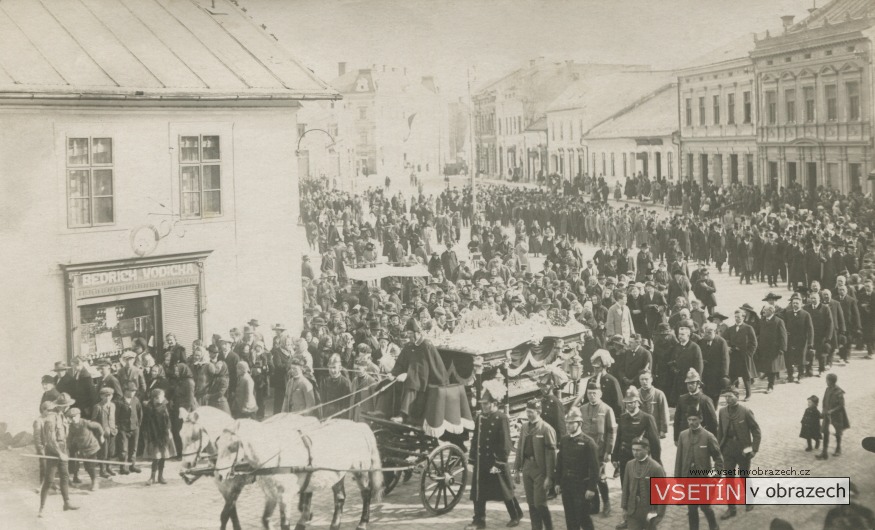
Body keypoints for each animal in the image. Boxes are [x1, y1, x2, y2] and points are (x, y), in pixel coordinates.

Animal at [180, 406, 316, 524]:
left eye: (194, 436)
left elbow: (226, 515)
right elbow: (230, 516)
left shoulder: (235, 488)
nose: (186, 464)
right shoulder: (224, 489)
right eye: (180, 434)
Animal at [214, 416, 382, 528]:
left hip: (360, 470)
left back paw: (362, 523)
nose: (219, 475)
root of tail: (358, 426)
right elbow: (265, 519)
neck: (275, 454)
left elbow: (285, 524)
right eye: (217, 443)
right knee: (340, 498)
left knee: (366, 493)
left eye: (232, 446)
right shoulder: (271, 495)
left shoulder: (285, 496)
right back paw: (334, 525)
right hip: (337, 474)